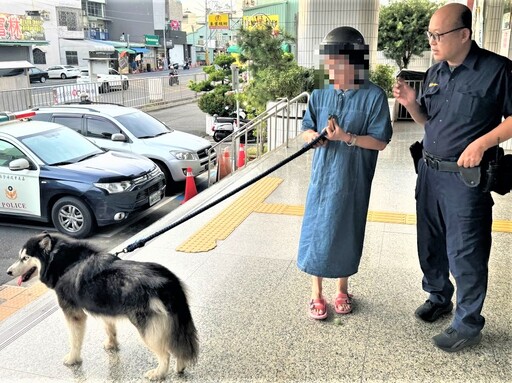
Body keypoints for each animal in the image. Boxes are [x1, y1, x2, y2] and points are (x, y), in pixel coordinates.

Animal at [6, 232, 198, 382]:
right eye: (20, 257)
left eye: (25, 258)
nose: (8, 272)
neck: (67, 263)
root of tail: (167, 280)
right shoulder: (105, 307)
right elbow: (109, 328)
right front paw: (111, 344)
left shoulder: (73, 313)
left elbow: (74, 340)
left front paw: (73, 359)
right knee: (179, 346)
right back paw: (180, 366)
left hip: (148, 329)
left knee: (166, 353)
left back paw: (159, 373)